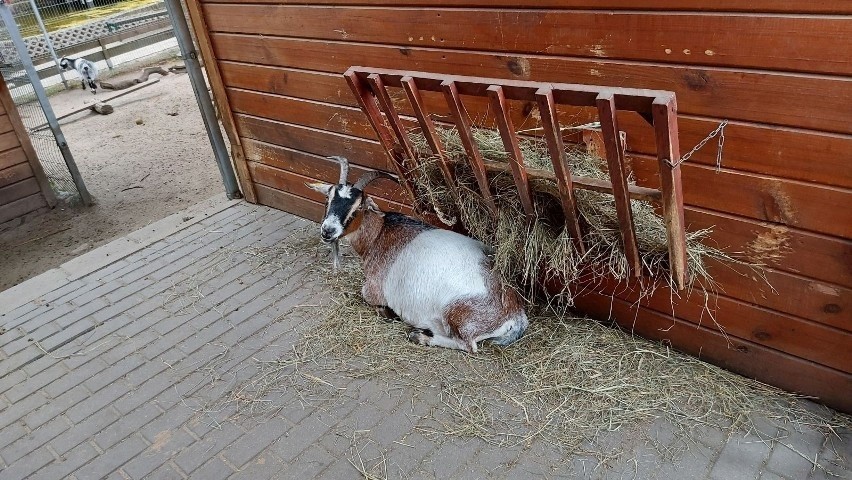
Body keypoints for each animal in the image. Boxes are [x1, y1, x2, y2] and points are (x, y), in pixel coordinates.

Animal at [310, 156, 528, 350]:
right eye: (328, 198)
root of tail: (515, 313)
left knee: (467, 345)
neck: (380, 233)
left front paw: (389, 314)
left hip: (456, 315)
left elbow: (367, 296)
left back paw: (420, 336)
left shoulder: (373, 289)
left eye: (358, 206)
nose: (328, 231)